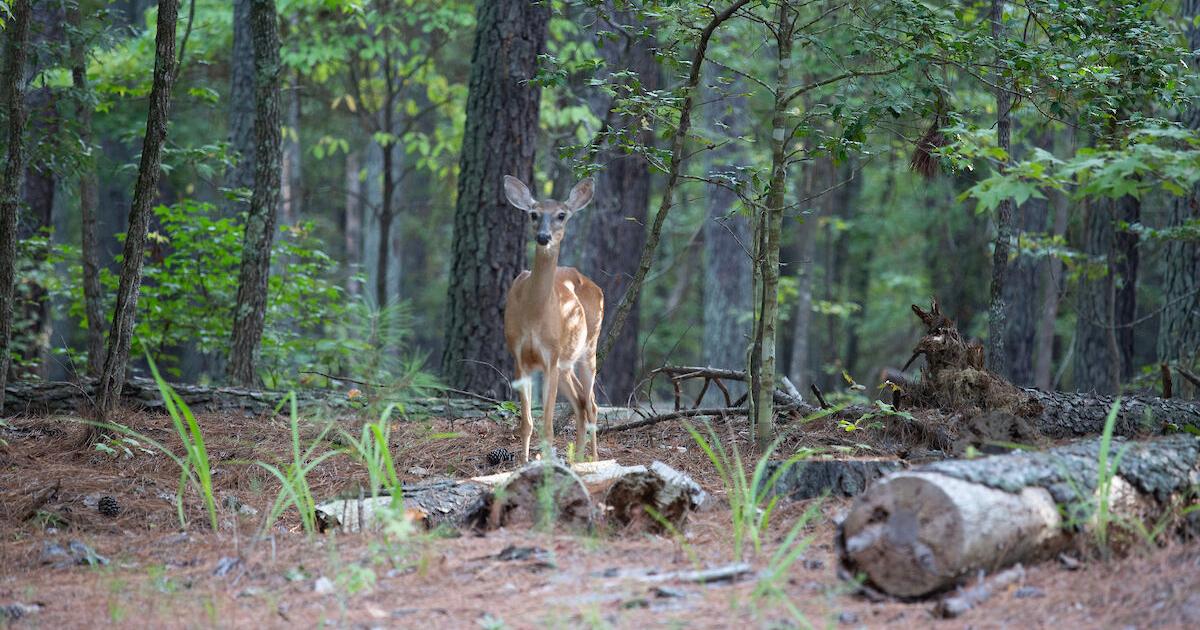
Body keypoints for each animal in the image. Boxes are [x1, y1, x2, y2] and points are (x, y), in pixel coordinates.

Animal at [502, 175, 604, 464]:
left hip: (589, 346)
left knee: (592, 403)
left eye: (561, 215)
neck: (534, 314)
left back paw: (593, 458)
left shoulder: (550, 355)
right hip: (566, 363)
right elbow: (526, 423)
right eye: (534, 214)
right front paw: (523, 463)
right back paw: (578, 458)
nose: (543, 237)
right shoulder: (519, 356)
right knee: (581, 401)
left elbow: (547, 426)